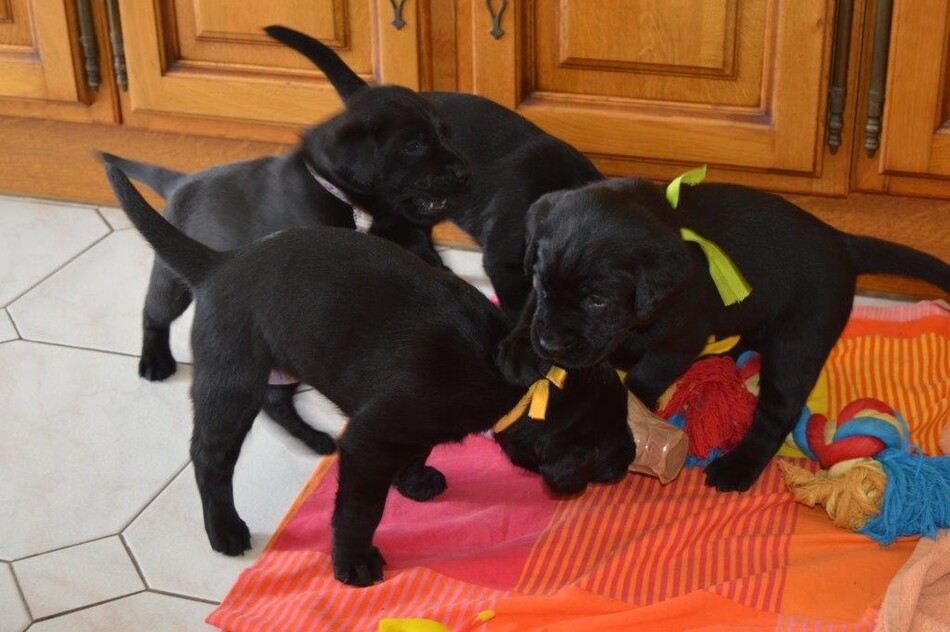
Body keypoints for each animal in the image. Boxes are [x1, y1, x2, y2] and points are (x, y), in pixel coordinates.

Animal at [102, 76, 470, 382]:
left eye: (446, 134)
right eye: (413, 145)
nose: (464, 172)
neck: (351, 203)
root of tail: (178, 181)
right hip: (170, 277)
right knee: (154, 312)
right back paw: (154, 361)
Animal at [106, 164, 640, 588]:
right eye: (604, 441)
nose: (631, 458)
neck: (514, 385)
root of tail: (220, 263)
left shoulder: (405, 427)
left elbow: (417, 449)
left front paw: (414, 479)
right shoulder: (370, 440)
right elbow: (360, 510)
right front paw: (354, 562)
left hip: (286, 357)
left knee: (276, 401)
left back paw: (313, 437)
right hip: (230, 377)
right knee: (210, 455)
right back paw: (224, 528)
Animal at [498, 177, 950, 494]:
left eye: (597, 301)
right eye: (539, 281)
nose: (550, 345)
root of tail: (843, 242)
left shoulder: (681, 337)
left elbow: (645, 375)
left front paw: (629, 408)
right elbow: (528, 311)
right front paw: (519, 351)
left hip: (799, 341)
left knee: (779, 412)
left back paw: (739, 466)